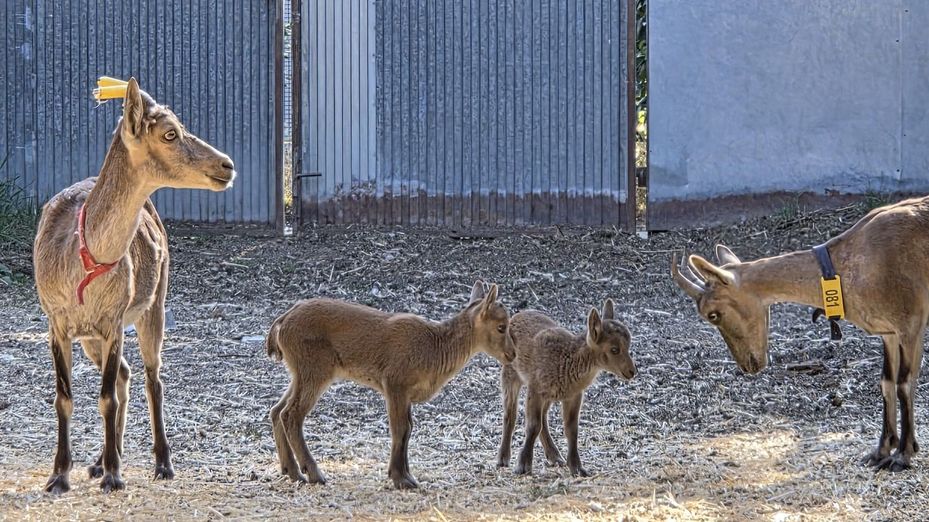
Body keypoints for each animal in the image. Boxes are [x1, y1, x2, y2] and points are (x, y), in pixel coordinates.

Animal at [33, 78, 236, 493]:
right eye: (170, 132)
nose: (227, 165)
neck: (82, 263)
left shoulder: (114, 318)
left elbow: (105, 397)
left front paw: (114, 476)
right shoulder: (55, 320)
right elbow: (64, 397)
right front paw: (59, 475)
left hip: (154, 305)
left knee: (151, 378)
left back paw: (160, 463)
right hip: (91, 337)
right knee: (126, 374)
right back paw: (99, 460)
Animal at [265, 281, 517, 489]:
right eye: (501, 326)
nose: (512, 354)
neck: (433, 349)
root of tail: (281, 323)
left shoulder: (407, 395)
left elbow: (408, 429)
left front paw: (408, 475)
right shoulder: (395, 384)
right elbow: (400, 428)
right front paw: (400, 479)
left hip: (299, 372)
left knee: (277, 410)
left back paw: (292, 471)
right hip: (315, 370)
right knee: (291, 414)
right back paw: (314, 474)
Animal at [497, 300, 635, 477]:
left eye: (628, 345)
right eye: (614, 349)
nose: (631, 371)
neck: (567, 359)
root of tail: (516, 316)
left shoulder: (574, 395)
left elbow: (571, 429)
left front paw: (578, 468)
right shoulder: (535, 388)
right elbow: (533, 425)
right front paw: (523, 465)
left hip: (549, 395)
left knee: (543, 418)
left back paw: (555, 456)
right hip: (510, 372)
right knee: (510, 414)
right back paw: (503, 458)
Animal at [671, 196, 929, 471]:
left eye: (712, 314)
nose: (749, 365)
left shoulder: (911, 322)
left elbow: (904, 384)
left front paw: (903, 455)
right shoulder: (889, 332)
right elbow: (887, 382)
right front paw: (880, 452)